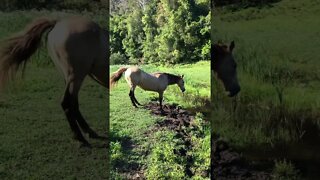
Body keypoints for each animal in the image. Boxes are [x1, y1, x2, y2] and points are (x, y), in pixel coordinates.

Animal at [0, 16, 109, 147]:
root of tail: (57, 23)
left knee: (74, 104)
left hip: (69, 78)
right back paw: (81, 138)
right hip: (76, 77)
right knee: (67, 103)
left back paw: (89, 132)